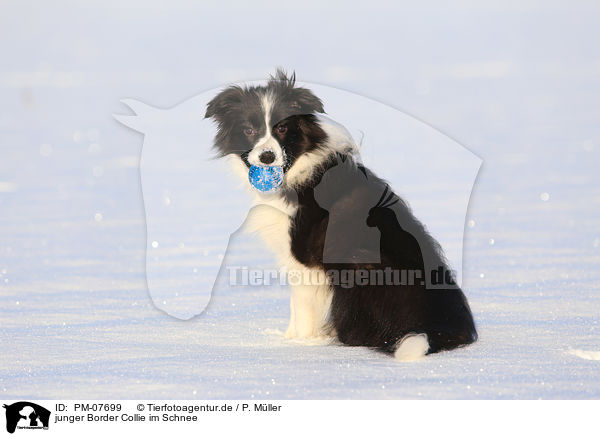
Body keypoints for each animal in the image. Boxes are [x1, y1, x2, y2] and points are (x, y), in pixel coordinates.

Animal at [206, 69, 478, 362]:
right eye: (249, 129)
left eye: (282, 128)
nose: (267, 157)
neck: (298, 167)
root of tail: (442, 329)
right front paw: (288, 339)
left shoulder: (305, 257)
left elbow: (301, 304)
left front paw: (299, 343)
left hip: (361, 266)